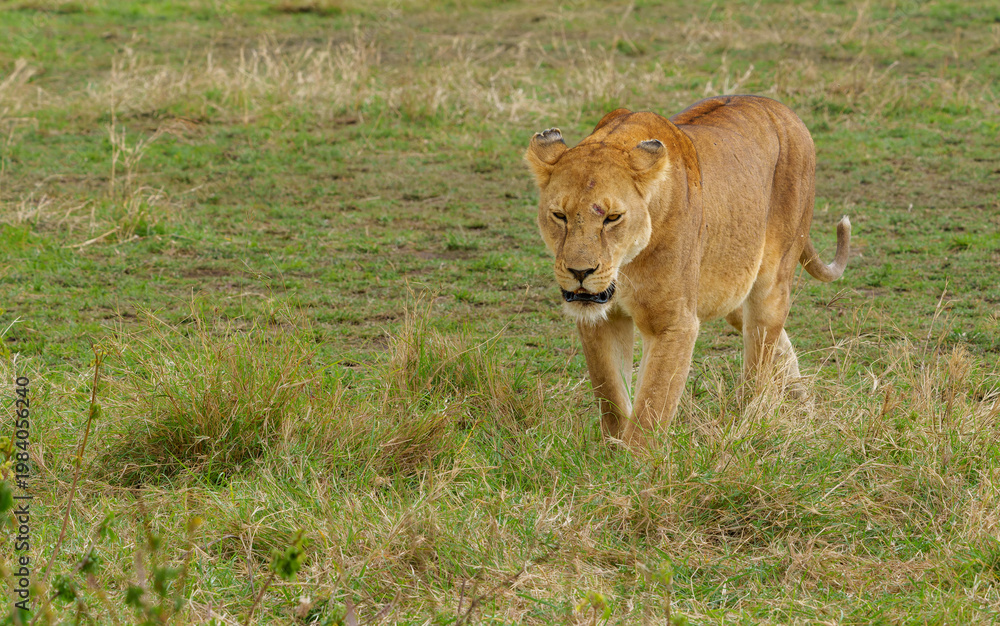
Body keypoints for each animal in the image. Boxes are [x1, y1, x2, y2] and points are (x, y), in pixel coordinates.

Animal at [525, 95, 850, 448]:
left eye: (612, 218)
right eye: (559, 215)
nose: (579, 271)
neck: (625, 267)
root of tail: (783, 109)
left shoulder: (673, 323)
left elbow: (652, 405)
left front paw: (633, 461)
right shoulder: (601, 321)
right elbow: (610, 395)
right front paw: (612, 448)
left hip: (771, 282)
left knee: (760, 363)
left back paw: (749, 427)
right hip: (731, 290)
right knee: (777, 343)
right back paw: (803, 403)